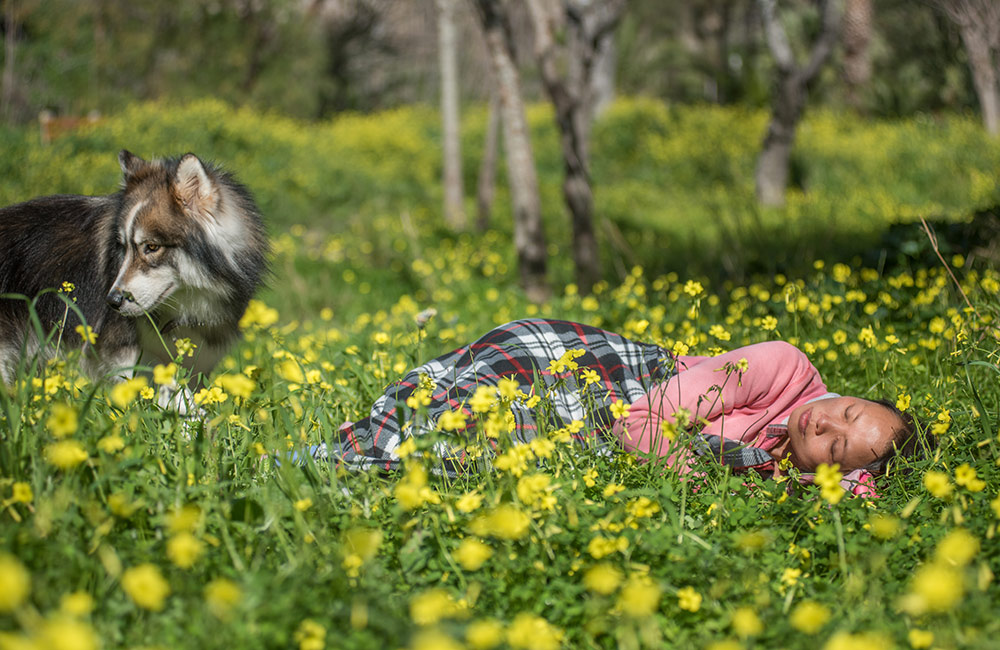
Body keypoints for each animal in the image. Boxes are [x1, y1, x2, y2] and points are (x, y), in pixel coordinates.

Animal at [0, 149, 270, 400]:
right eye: (123, 246)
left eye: (151, 247)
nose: (112, 301)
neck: (185, 309)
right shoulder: (125, 356)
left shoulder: (199, 365)